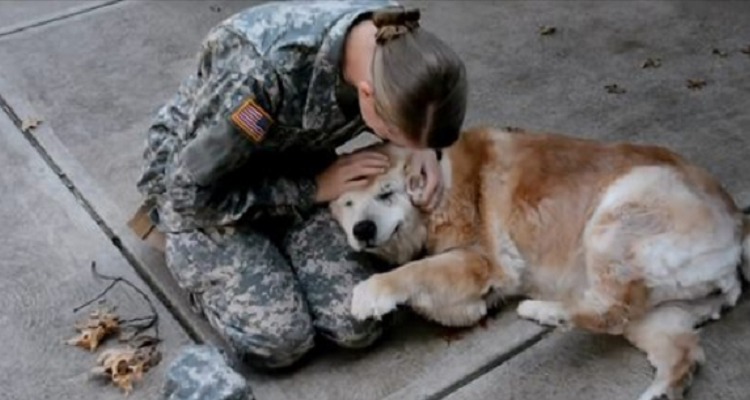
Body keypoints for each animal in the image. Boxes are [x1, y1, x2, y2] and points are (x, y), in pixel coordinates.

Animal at [332, 126, 748, 400]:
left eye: (387, 194)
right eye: (346, 204)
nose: (362, 230)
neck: (441, 187)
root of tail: (738, 223)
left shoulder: (486, 262)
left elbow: (416, 270)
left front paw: (372, 293)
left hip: (616, 217)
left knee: (610, 311)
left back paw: (545, 311)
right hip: (662, 311)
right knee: (681, 354)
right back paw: (658, 392)